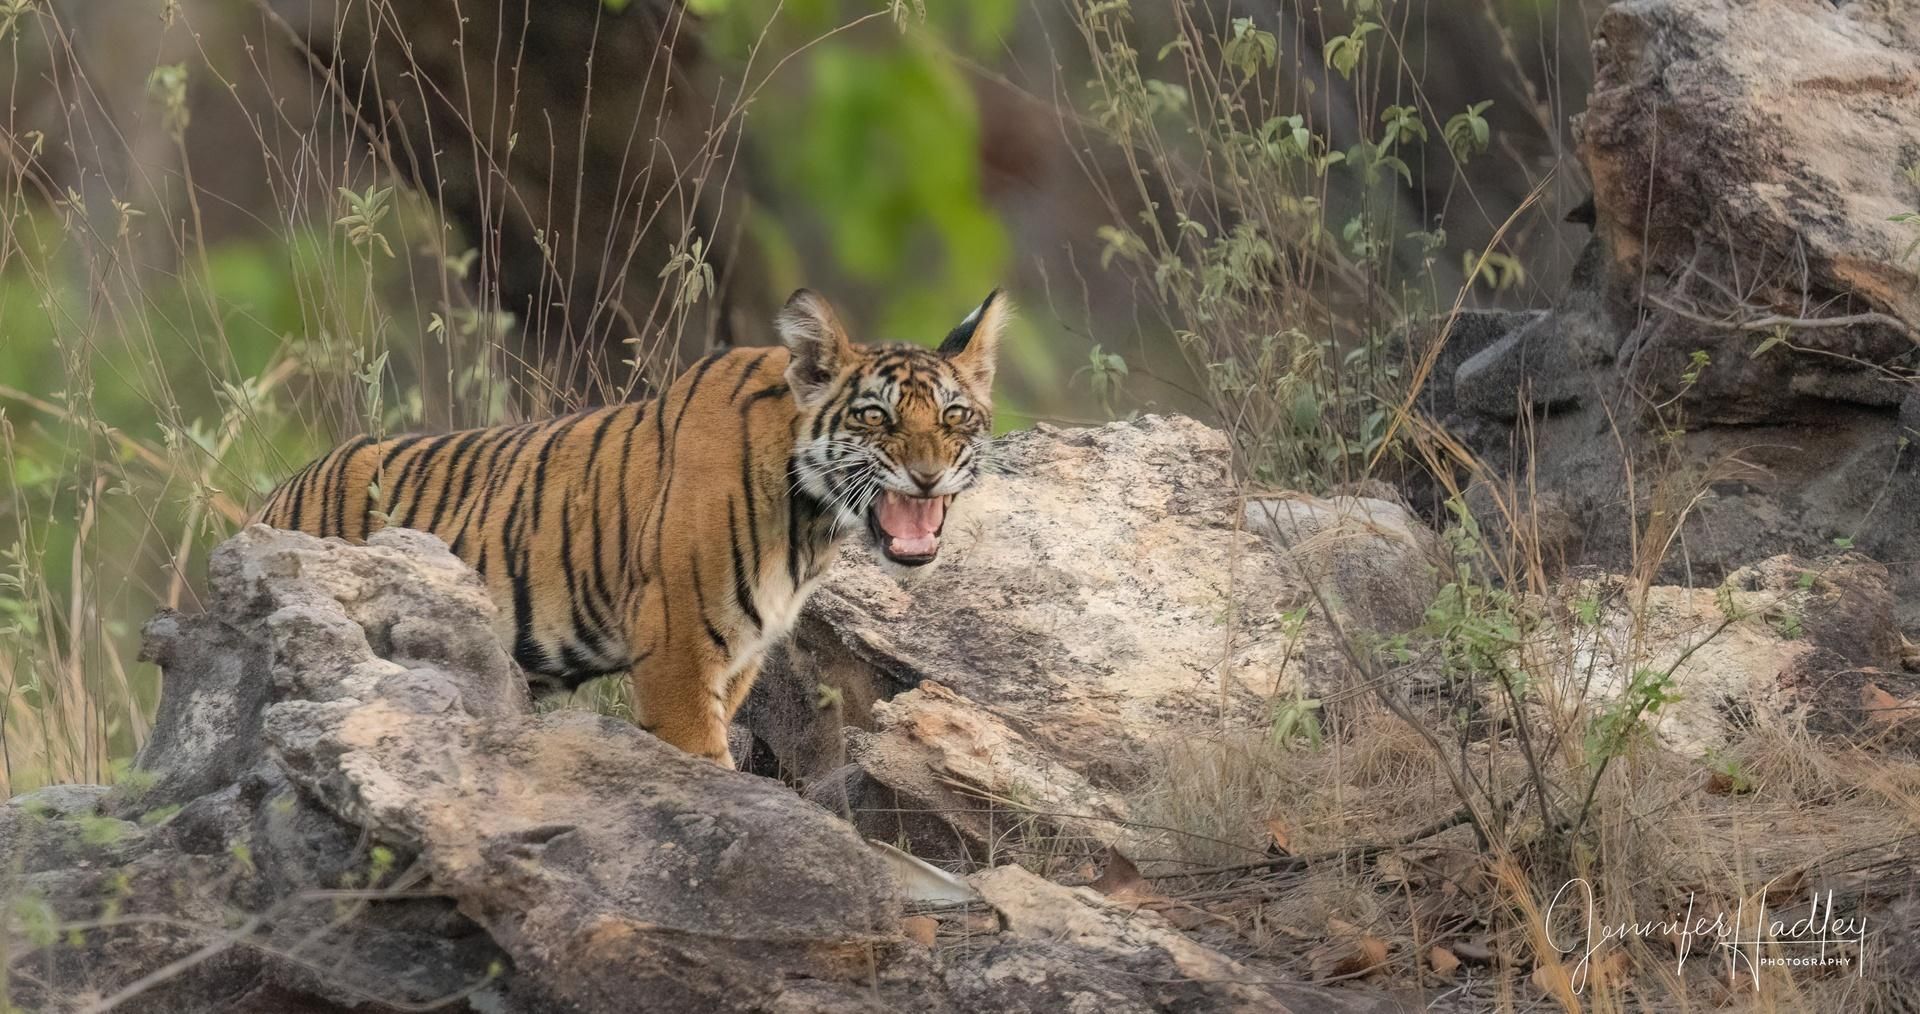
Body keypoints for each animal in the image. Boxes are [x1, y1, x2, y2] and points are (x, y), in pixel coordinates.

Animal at [255, 289, 1007, 766]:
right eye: (875, 416)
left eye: (955, 415)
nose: (927, 475)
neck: (811, 521)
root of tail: (274, 498)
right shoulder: (678, 644)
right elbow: (703, 763)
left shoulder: (740, 655)